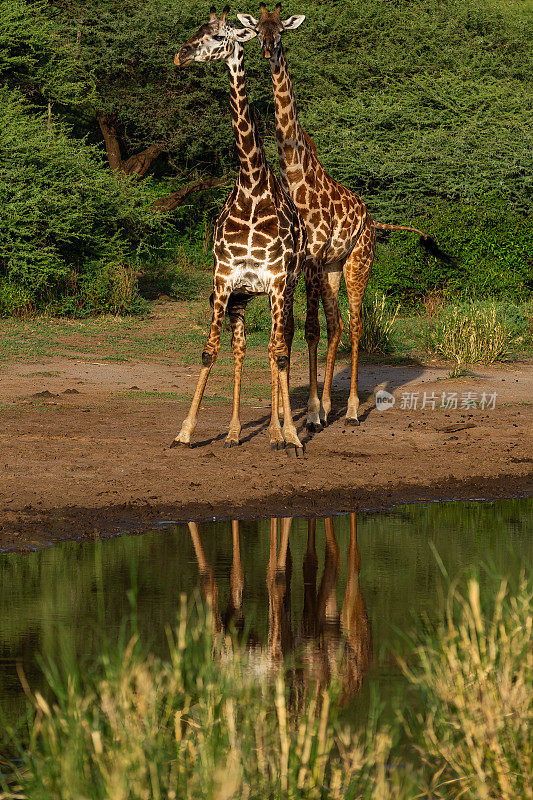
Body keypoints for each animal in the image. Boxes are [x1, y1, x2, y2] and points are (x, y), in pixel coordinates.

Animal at [168, 6, 306, 454]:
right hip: (244, 297)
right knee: (243, 347)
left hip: (287, 291)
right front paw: (185, 431)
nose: (180, 55)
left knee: (282, 346)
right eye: (198, 28)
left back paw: (281, 433)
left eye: (218, 35)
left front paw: (290, 435)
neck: (250, 187)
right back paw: (233, 432)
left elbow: (279, 353)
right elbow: (210, 350)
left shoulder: (277, 281)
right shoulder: (225, 279)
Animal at [238, 6, 436, 432]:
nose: (267, 51)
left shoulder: (311, 259)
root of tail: (372, 220)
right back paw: (330, 406)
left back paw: (351, 410)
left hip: (356, 263)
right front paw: (308, 413)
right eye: (257, 31)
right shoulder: (302, 264)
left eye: (281, 32)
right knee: (336, 326)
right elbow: (299, 332)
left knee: (356, 323)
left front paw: (310, 414)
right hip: (332, 267)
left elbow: (308, 329)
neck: (295, 176)